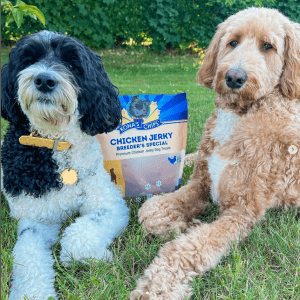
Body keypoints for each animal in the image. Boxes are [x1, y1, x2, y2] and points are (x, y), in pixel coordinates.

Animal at [0, 31, 129, 300]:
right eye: (29, 59)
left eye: (72, 64)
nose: (44, 79)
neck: (59, 142)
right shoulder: (36, 220)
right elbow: (28, 257)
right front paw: (32, 293)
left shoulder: (109, 203)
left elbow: (78, 234)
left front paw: (93, 256)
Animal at [131, 7, 300, 300]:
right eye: (233, 41)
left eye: (268, 46)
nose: (234, 77)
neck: (239, 114)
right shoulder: (200, 183)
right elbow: (151, 209)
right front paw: (183, 224)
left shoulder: (240, 212)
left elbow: (187, 248)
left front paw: (157, 288)